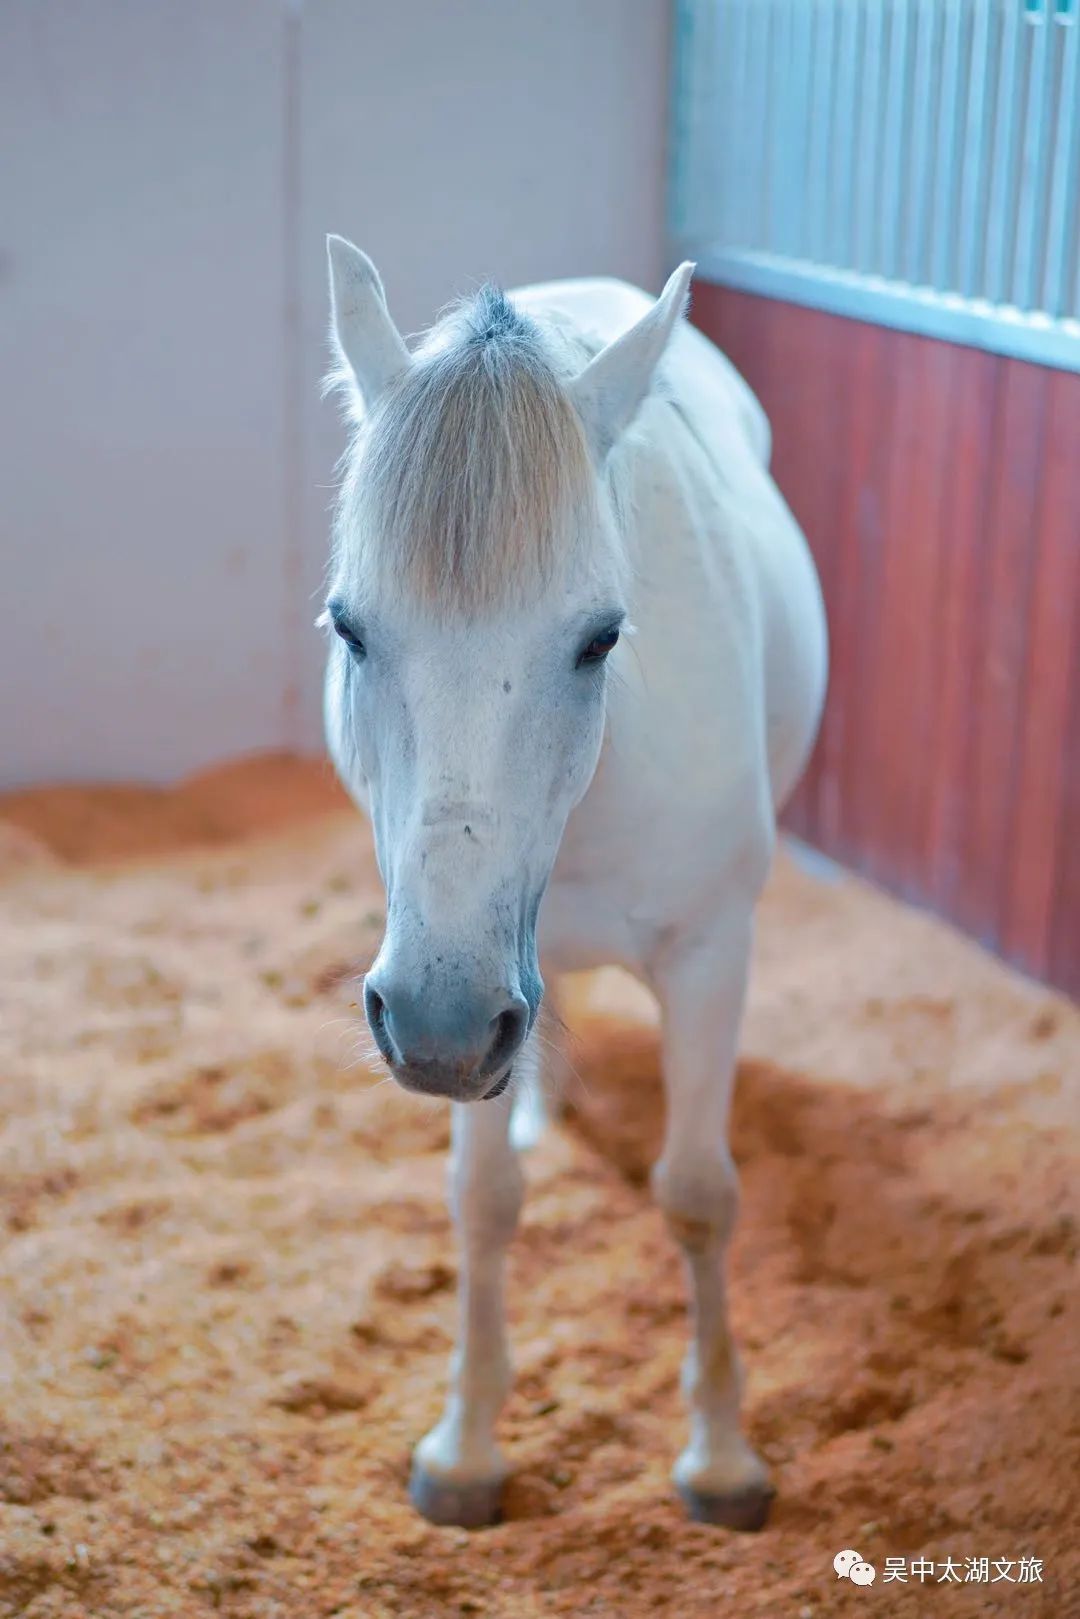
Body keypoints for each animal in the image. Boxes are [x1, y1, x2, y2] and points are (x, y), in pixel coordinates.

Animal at [320, 239, 829, 1528]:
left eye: (600, 637)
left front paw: (721, 1457)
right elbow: (483, 1200)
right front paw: (466, 1448)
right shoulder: (449, 965)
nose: (447, 1025)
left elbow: (697, 1193)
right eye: (351, 627)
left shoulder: (707, 956)